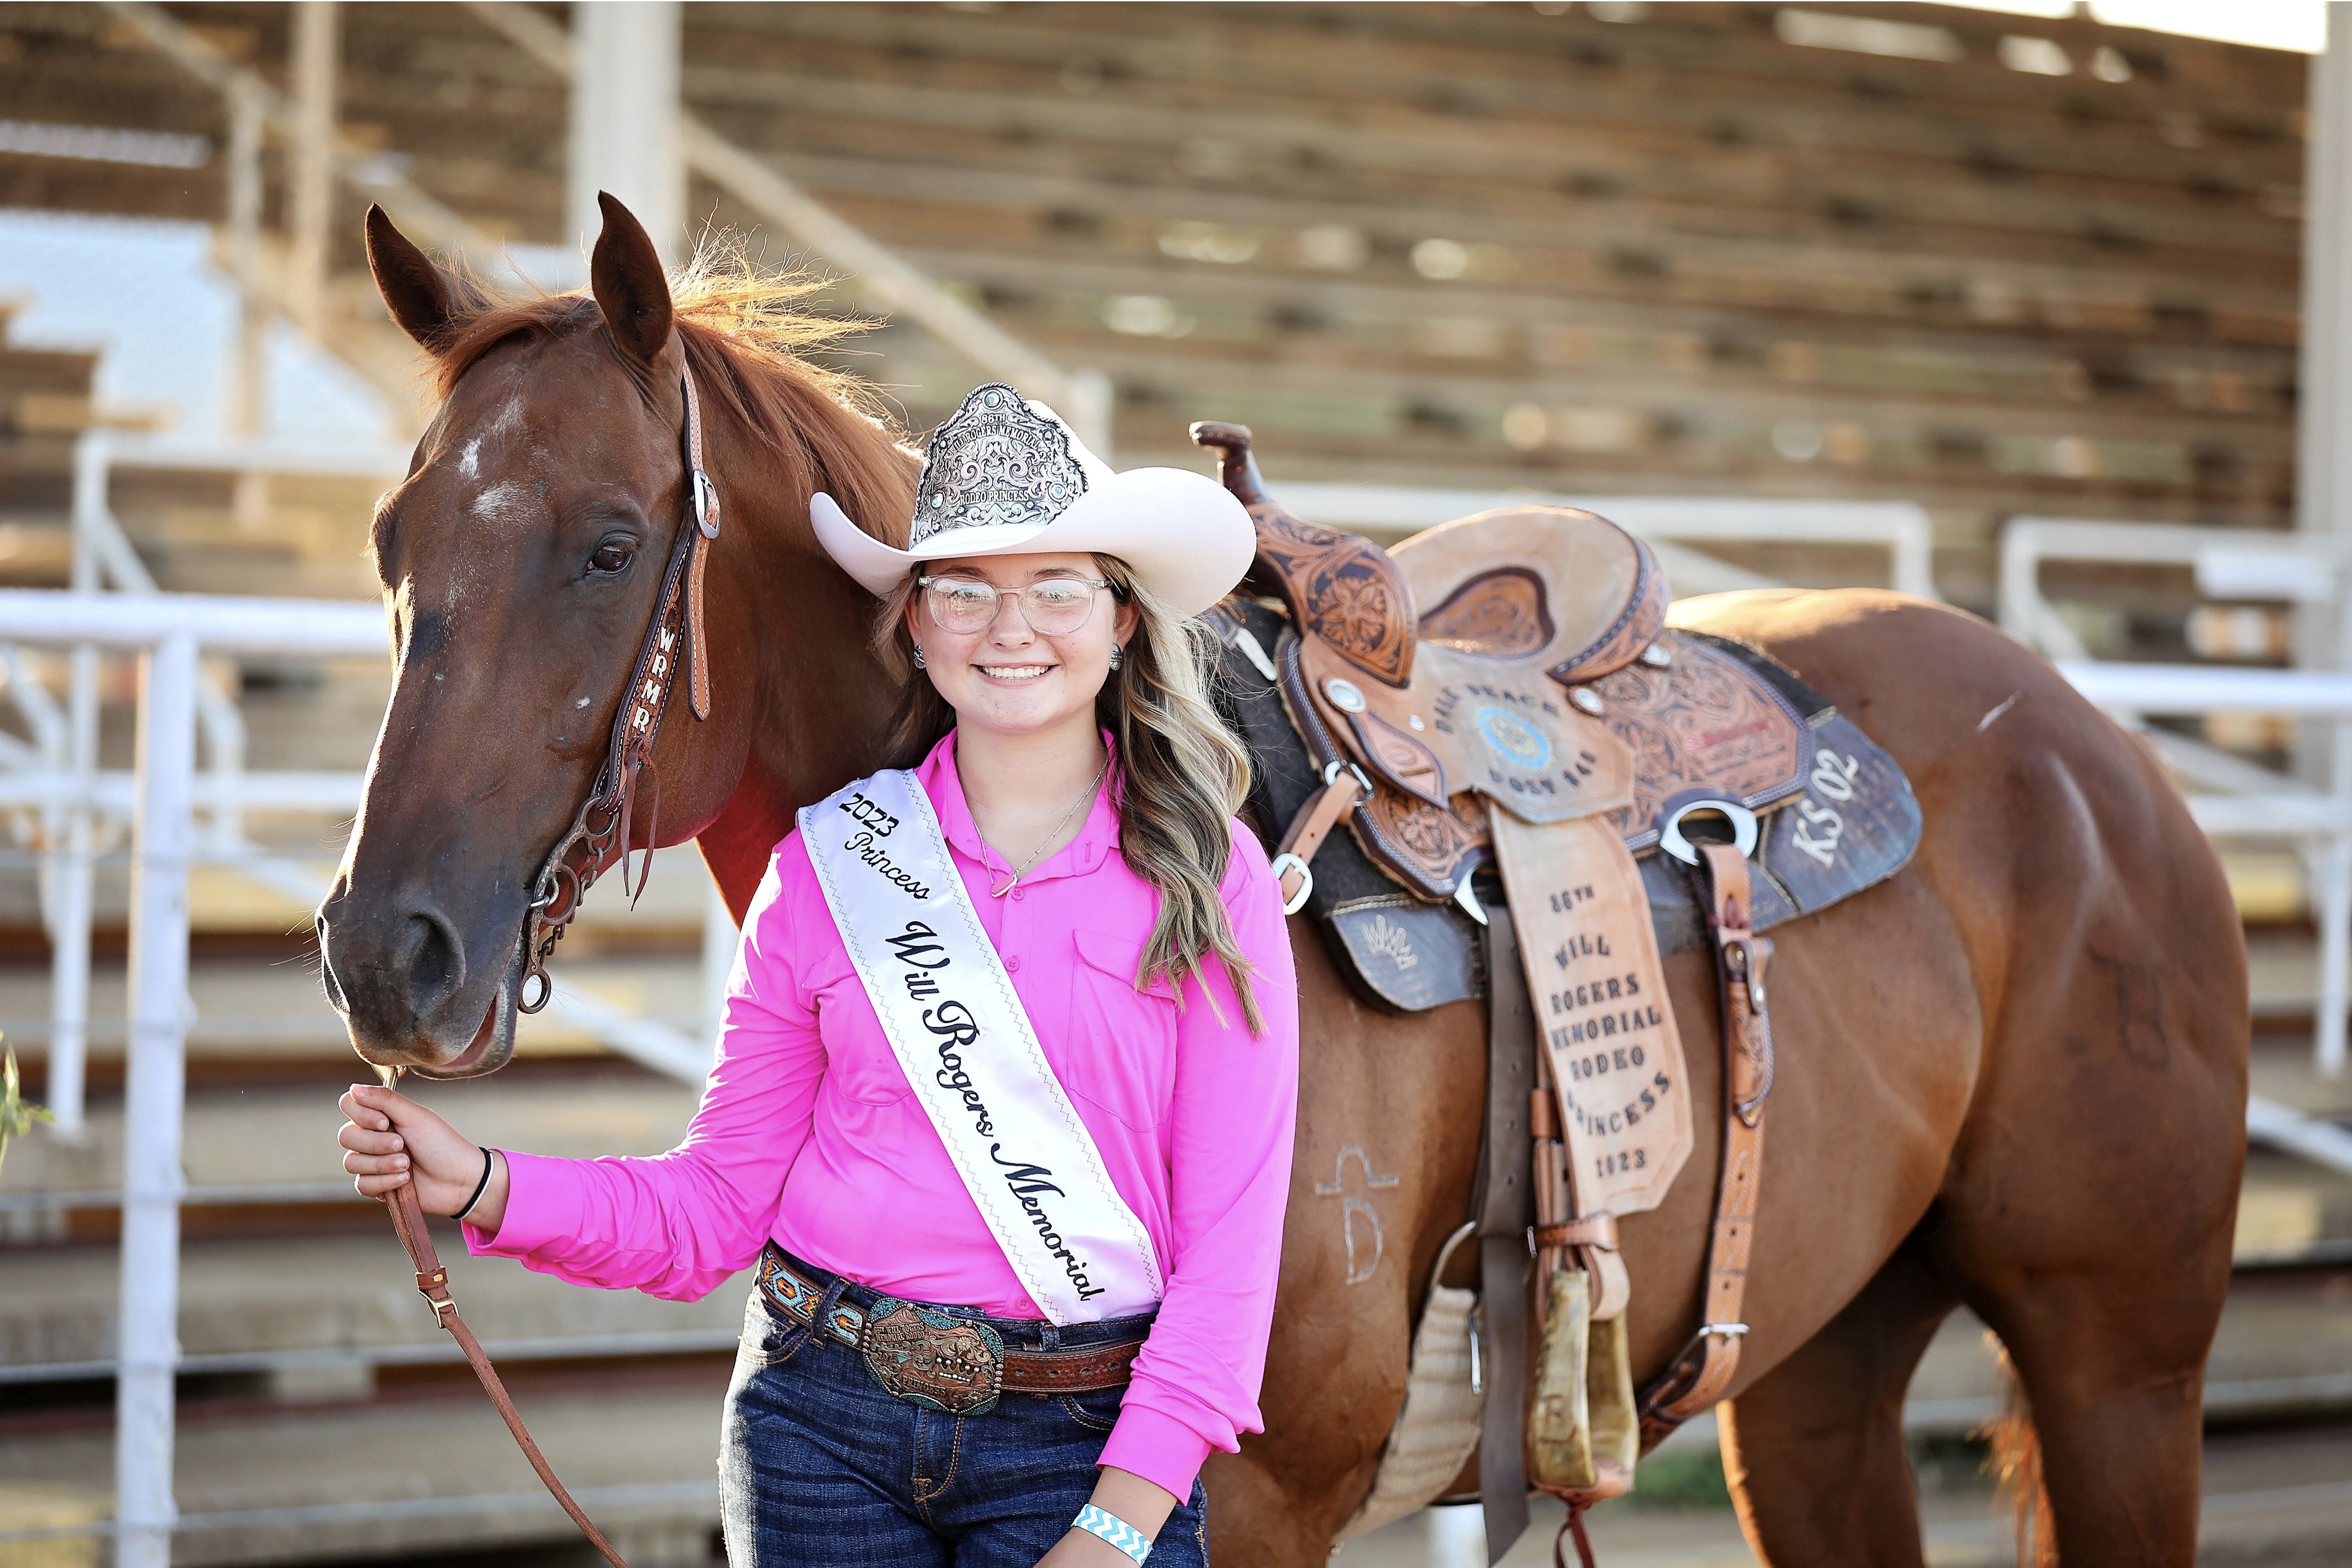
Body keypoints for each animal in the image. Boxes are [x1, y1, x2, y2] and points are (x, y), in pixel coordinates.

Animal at [322, 199, 2248, 1568]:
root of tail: (2103, 754)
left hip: (2122, 1368)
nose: (383, 954)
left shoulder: (1253, 1499)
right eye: (392, 540)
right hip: (1817, 1374)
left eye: (608, 545)